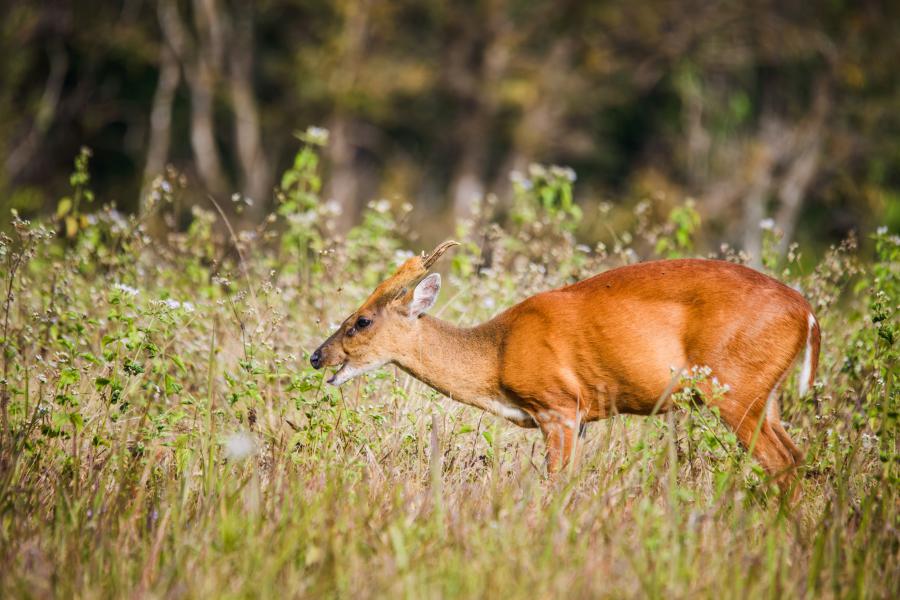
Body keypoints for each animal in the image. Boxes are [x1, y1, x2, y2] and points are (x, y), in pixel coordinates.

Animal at [310, 241, 819, 489]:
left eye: (361, 321)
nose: (317, 356)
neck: (497, 355)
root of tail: (807, 313)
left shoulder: (557, 405)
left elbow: (555, 482)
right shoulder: (579, 416)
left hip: (734, 386)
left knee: (780, 460)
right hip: (766, 394)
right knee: (795, 457)